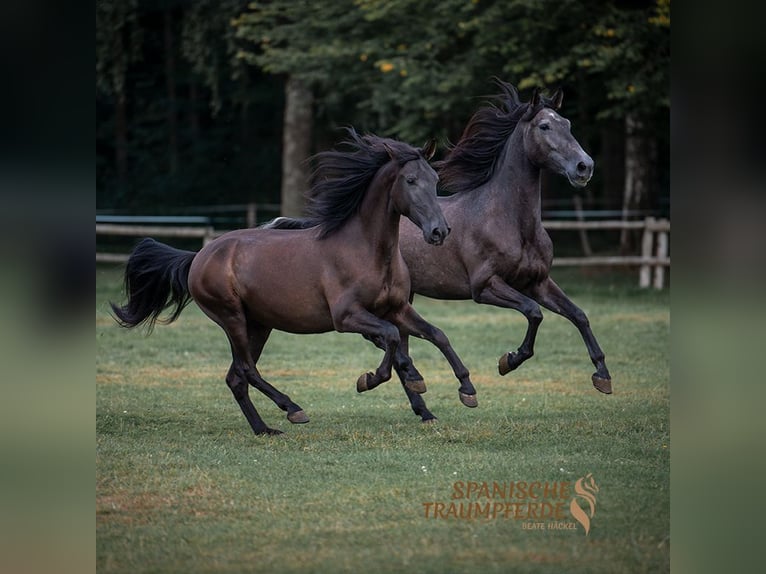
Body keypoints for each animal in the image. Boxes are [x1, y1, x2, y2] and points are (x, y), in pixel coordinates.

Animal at [111, 130, 476, 436]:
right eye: (411, 180)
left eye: (434, 178)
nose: (439, 231)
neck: (367, 249)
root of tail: (198, 256)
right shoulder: (347, 317)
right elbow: (390, 339)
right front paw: (371, 380)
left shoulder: (398, 308)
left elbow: (437, 335)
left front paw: (466, 390)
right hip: (232, 318)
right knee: (247, 370)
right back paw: (293, 409)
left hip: (258, 324)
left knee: (235, 377)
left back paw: (264, 429)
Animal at [400, 80, 616, 424]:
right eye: (544, 126)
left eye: (567, 124)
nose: (585, 167)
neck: (511, 222)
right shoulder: (485, 287)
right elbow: (534, 313)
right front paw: (508, 361)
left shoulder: (538, 282)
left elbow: (578, 315)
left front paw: (603, 376)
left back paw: (420, 406)